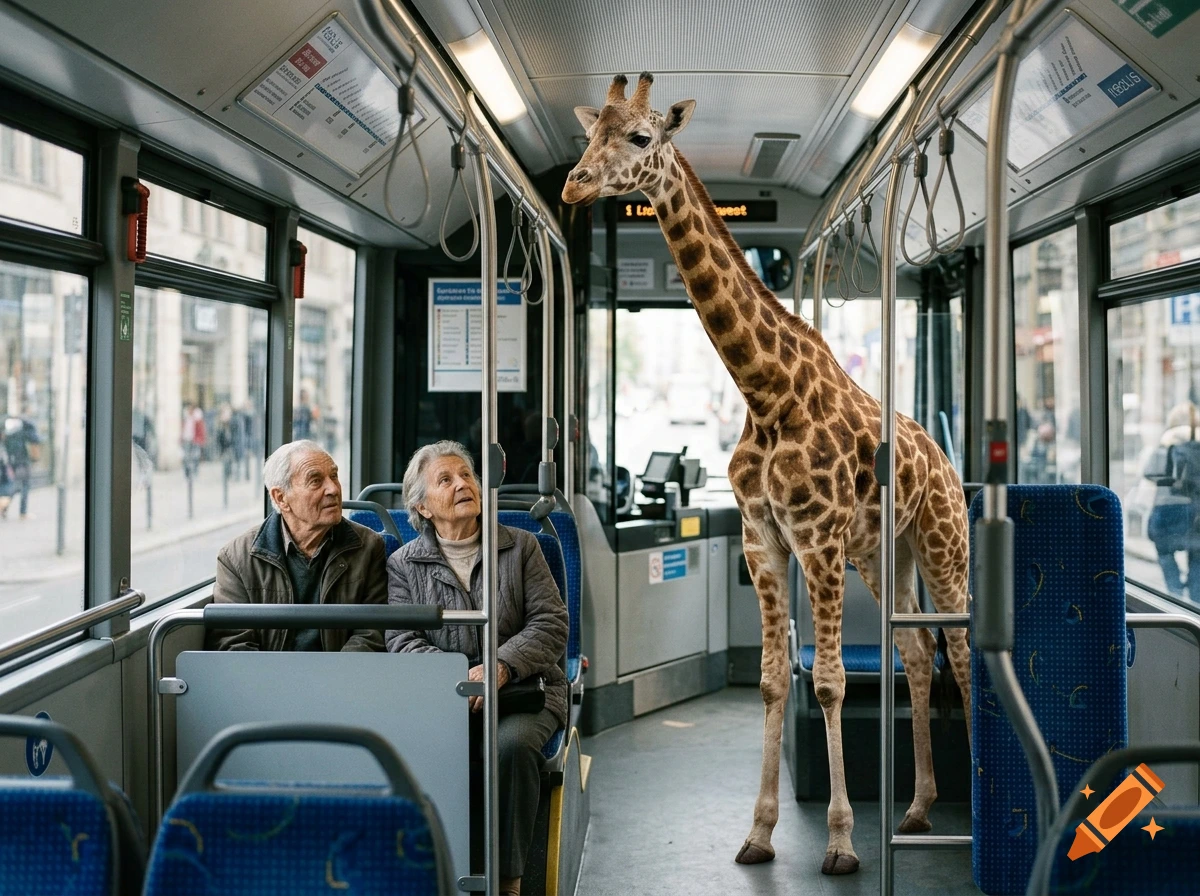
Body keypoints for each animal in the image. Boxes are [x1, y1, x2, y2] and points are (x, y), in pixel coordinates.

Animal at [562, 73, 972, 874]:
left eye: (641, 137)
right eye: (588, 135)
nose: (574, 184)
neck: (766, 393)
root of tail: (943, 458)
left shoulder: (817, 542)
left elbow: (832, 681)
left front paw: (841, 841)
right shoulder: (763, 540)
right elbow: (772, 679)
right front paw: (758, 833)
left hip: (944, 547)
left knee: (966, 657)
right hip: (888, 553)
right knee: (915, 651)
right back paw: (916, 807)